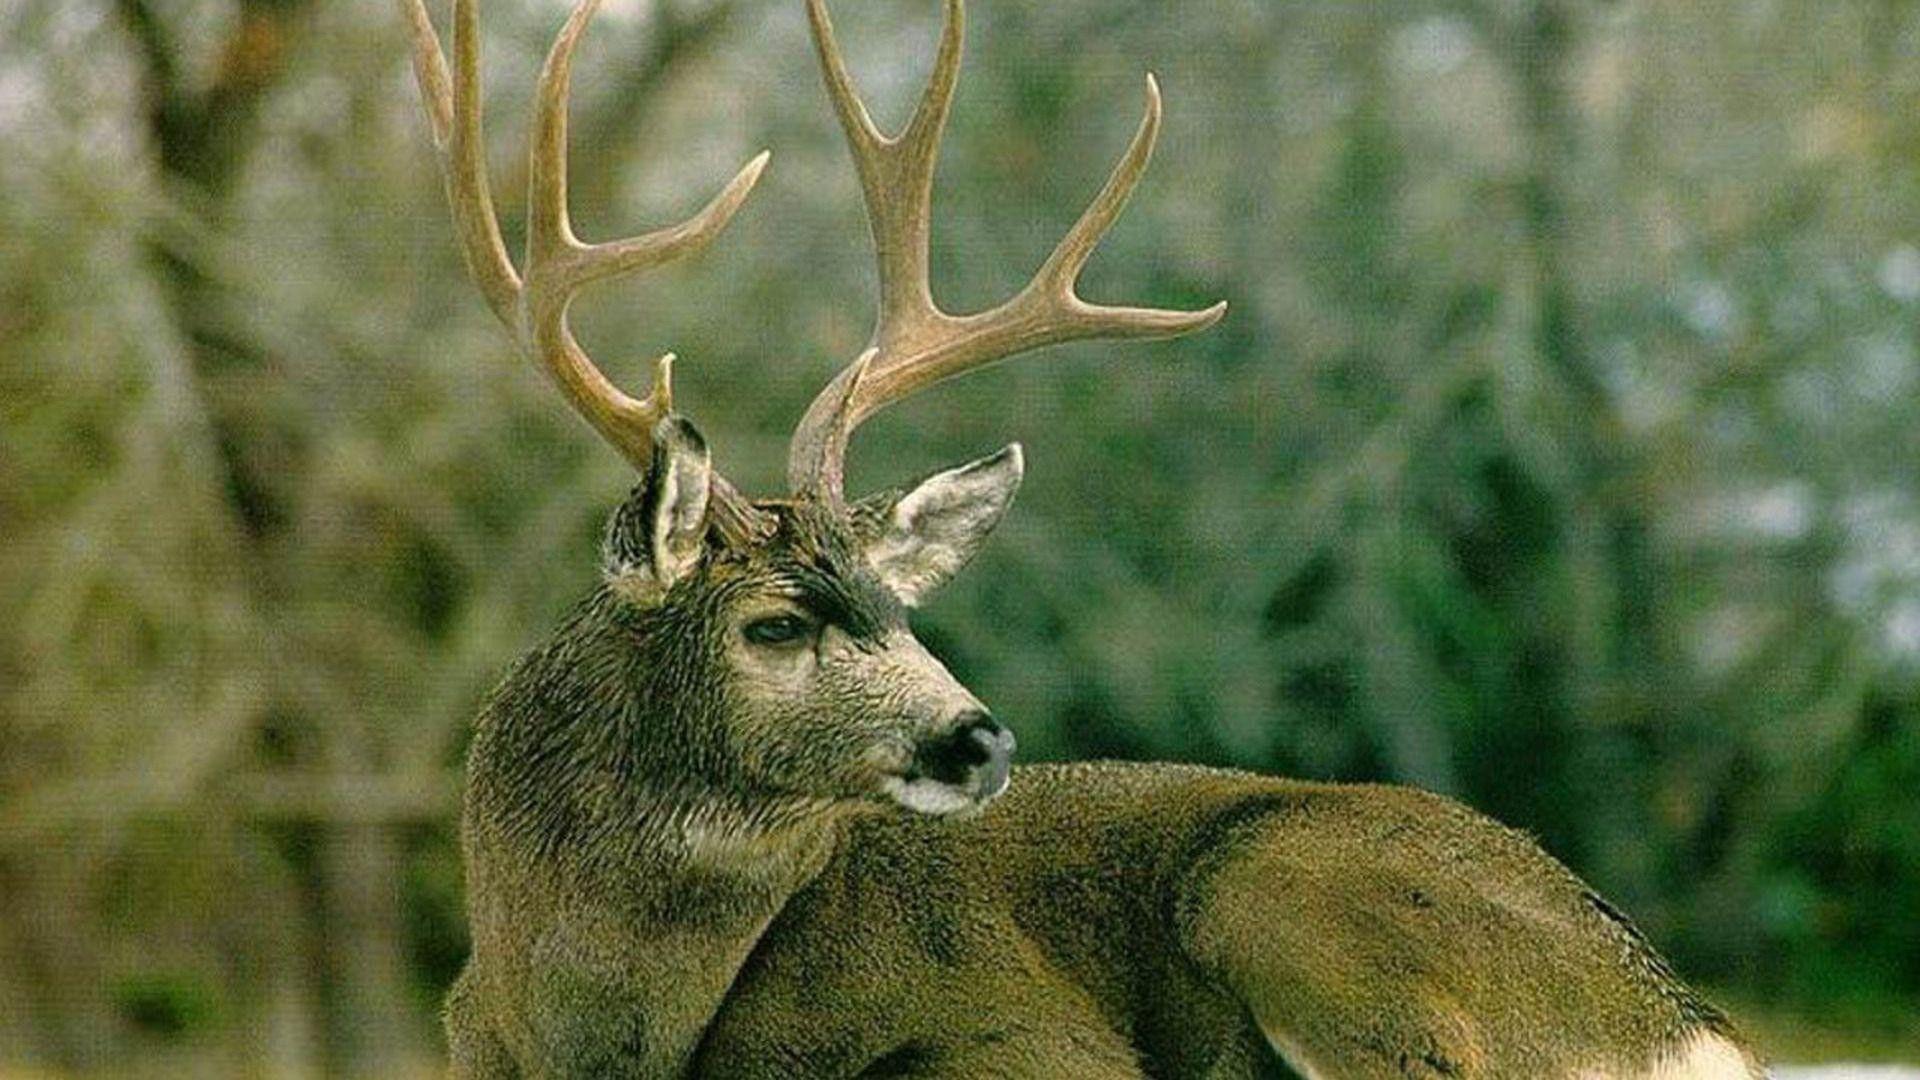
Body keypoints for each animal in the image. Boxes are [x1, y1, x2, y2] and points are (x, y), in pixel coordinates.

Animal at [397, 0, 1767, 1076]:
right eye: (775, 622)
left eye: (899, 609)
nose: (979, 737)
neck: (585, 1031)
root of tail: (1682, 1021)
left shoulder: (1024, 1036)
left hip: (1282, 886)